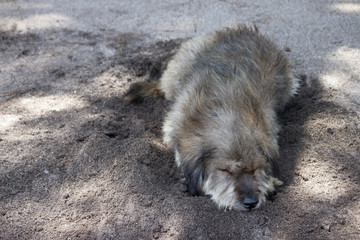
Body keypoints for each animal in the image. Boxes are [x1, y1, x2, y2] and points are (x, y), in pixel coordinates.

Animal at [125, 25, 300, 211]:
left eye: (255, 168)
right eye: (225, 170)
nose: (250, 202)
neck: (226, 110)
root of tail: (246, 30)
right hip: (178, 70)